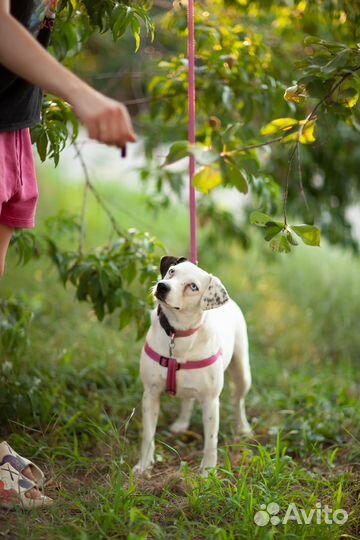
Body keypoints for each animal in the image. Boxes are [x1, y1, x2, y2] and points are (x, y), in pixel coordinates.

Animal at [134, 255, 252, 474]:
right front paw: (144, 465)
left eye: (193, 286)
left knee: (238, 402)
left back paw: (244, 428)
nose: (162, 286)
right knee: (187, 400)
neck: (177, 334)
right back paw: (181, 423)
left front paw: (208, 471)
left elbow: (211, 442)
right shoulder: (150, 394)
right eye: (172, 271)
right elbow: (148, 435)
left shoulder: (211, 401)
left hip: (242, 373)